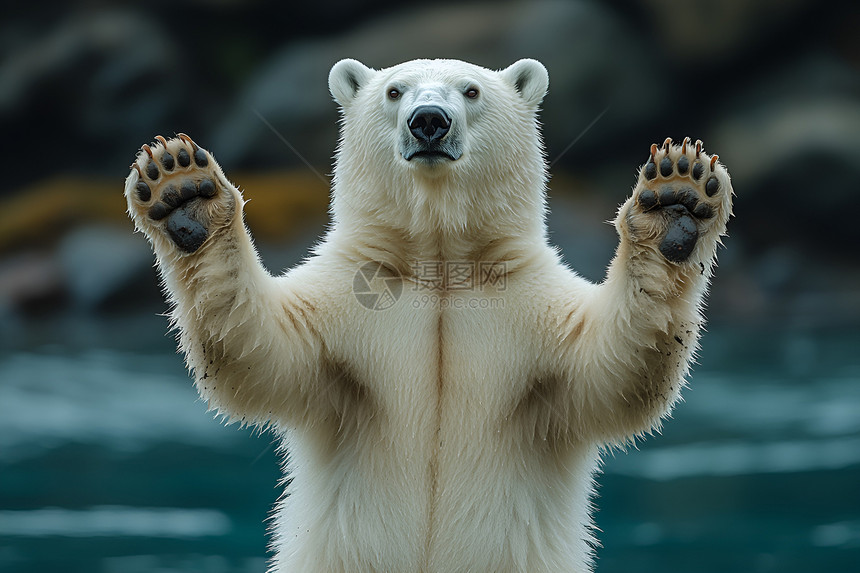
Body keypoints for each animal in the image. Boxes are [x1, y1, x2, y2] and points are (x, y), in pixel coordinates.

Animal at [124, 59, 736, 572]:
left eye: (471, 90)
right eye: (394, 91)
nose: (429, 122)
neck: (438, 266)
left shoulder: (530, 315)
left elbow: (612, 370)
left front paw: (676, 197)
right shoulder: (348, 308)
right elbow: (262, 351)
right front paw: (183, 189)